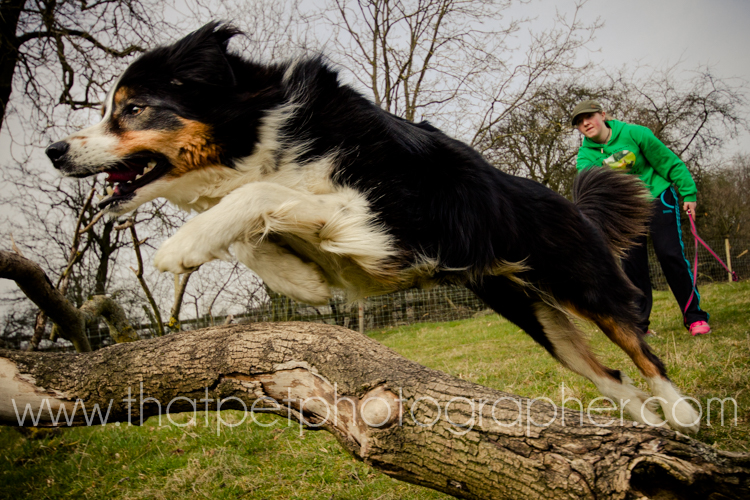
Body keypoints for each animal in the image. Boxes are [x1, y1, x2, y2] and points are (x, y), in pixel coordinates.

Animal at [46, 22, 700, 433]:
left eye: (133, 109)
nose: (54, 151)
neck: (260, 133)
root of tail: (572, 204)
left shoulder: (387, 225)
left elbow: (260, 195)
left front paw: (179, 246)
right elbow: (256, 224)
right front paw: (300, 280)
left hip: (585, 286)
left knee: (644, 355)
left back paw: (686, 417)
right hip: (535, 315)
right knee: (612, 377)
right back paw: (651, 427)